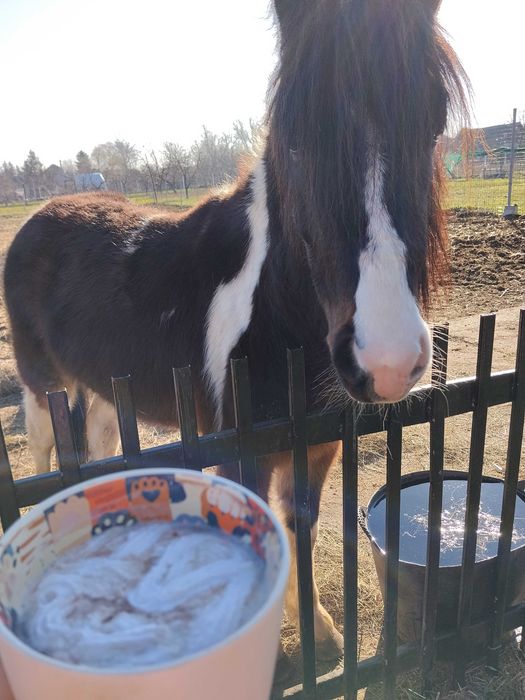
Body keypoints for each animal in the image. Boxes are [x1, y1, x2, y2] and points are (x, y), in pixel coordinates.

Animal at [4, 0, 466, 660]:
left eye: (432, 120)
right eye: (293, 135)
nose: (387, 361)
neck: (279, 314)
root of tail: (41, 216)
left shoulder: (317, 445)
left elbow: (300, 524)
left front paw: (320, 632)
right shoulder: (239, 460)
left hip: (103, 393)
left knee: (99, 448)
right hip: (44, 386)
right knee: (46, 451)